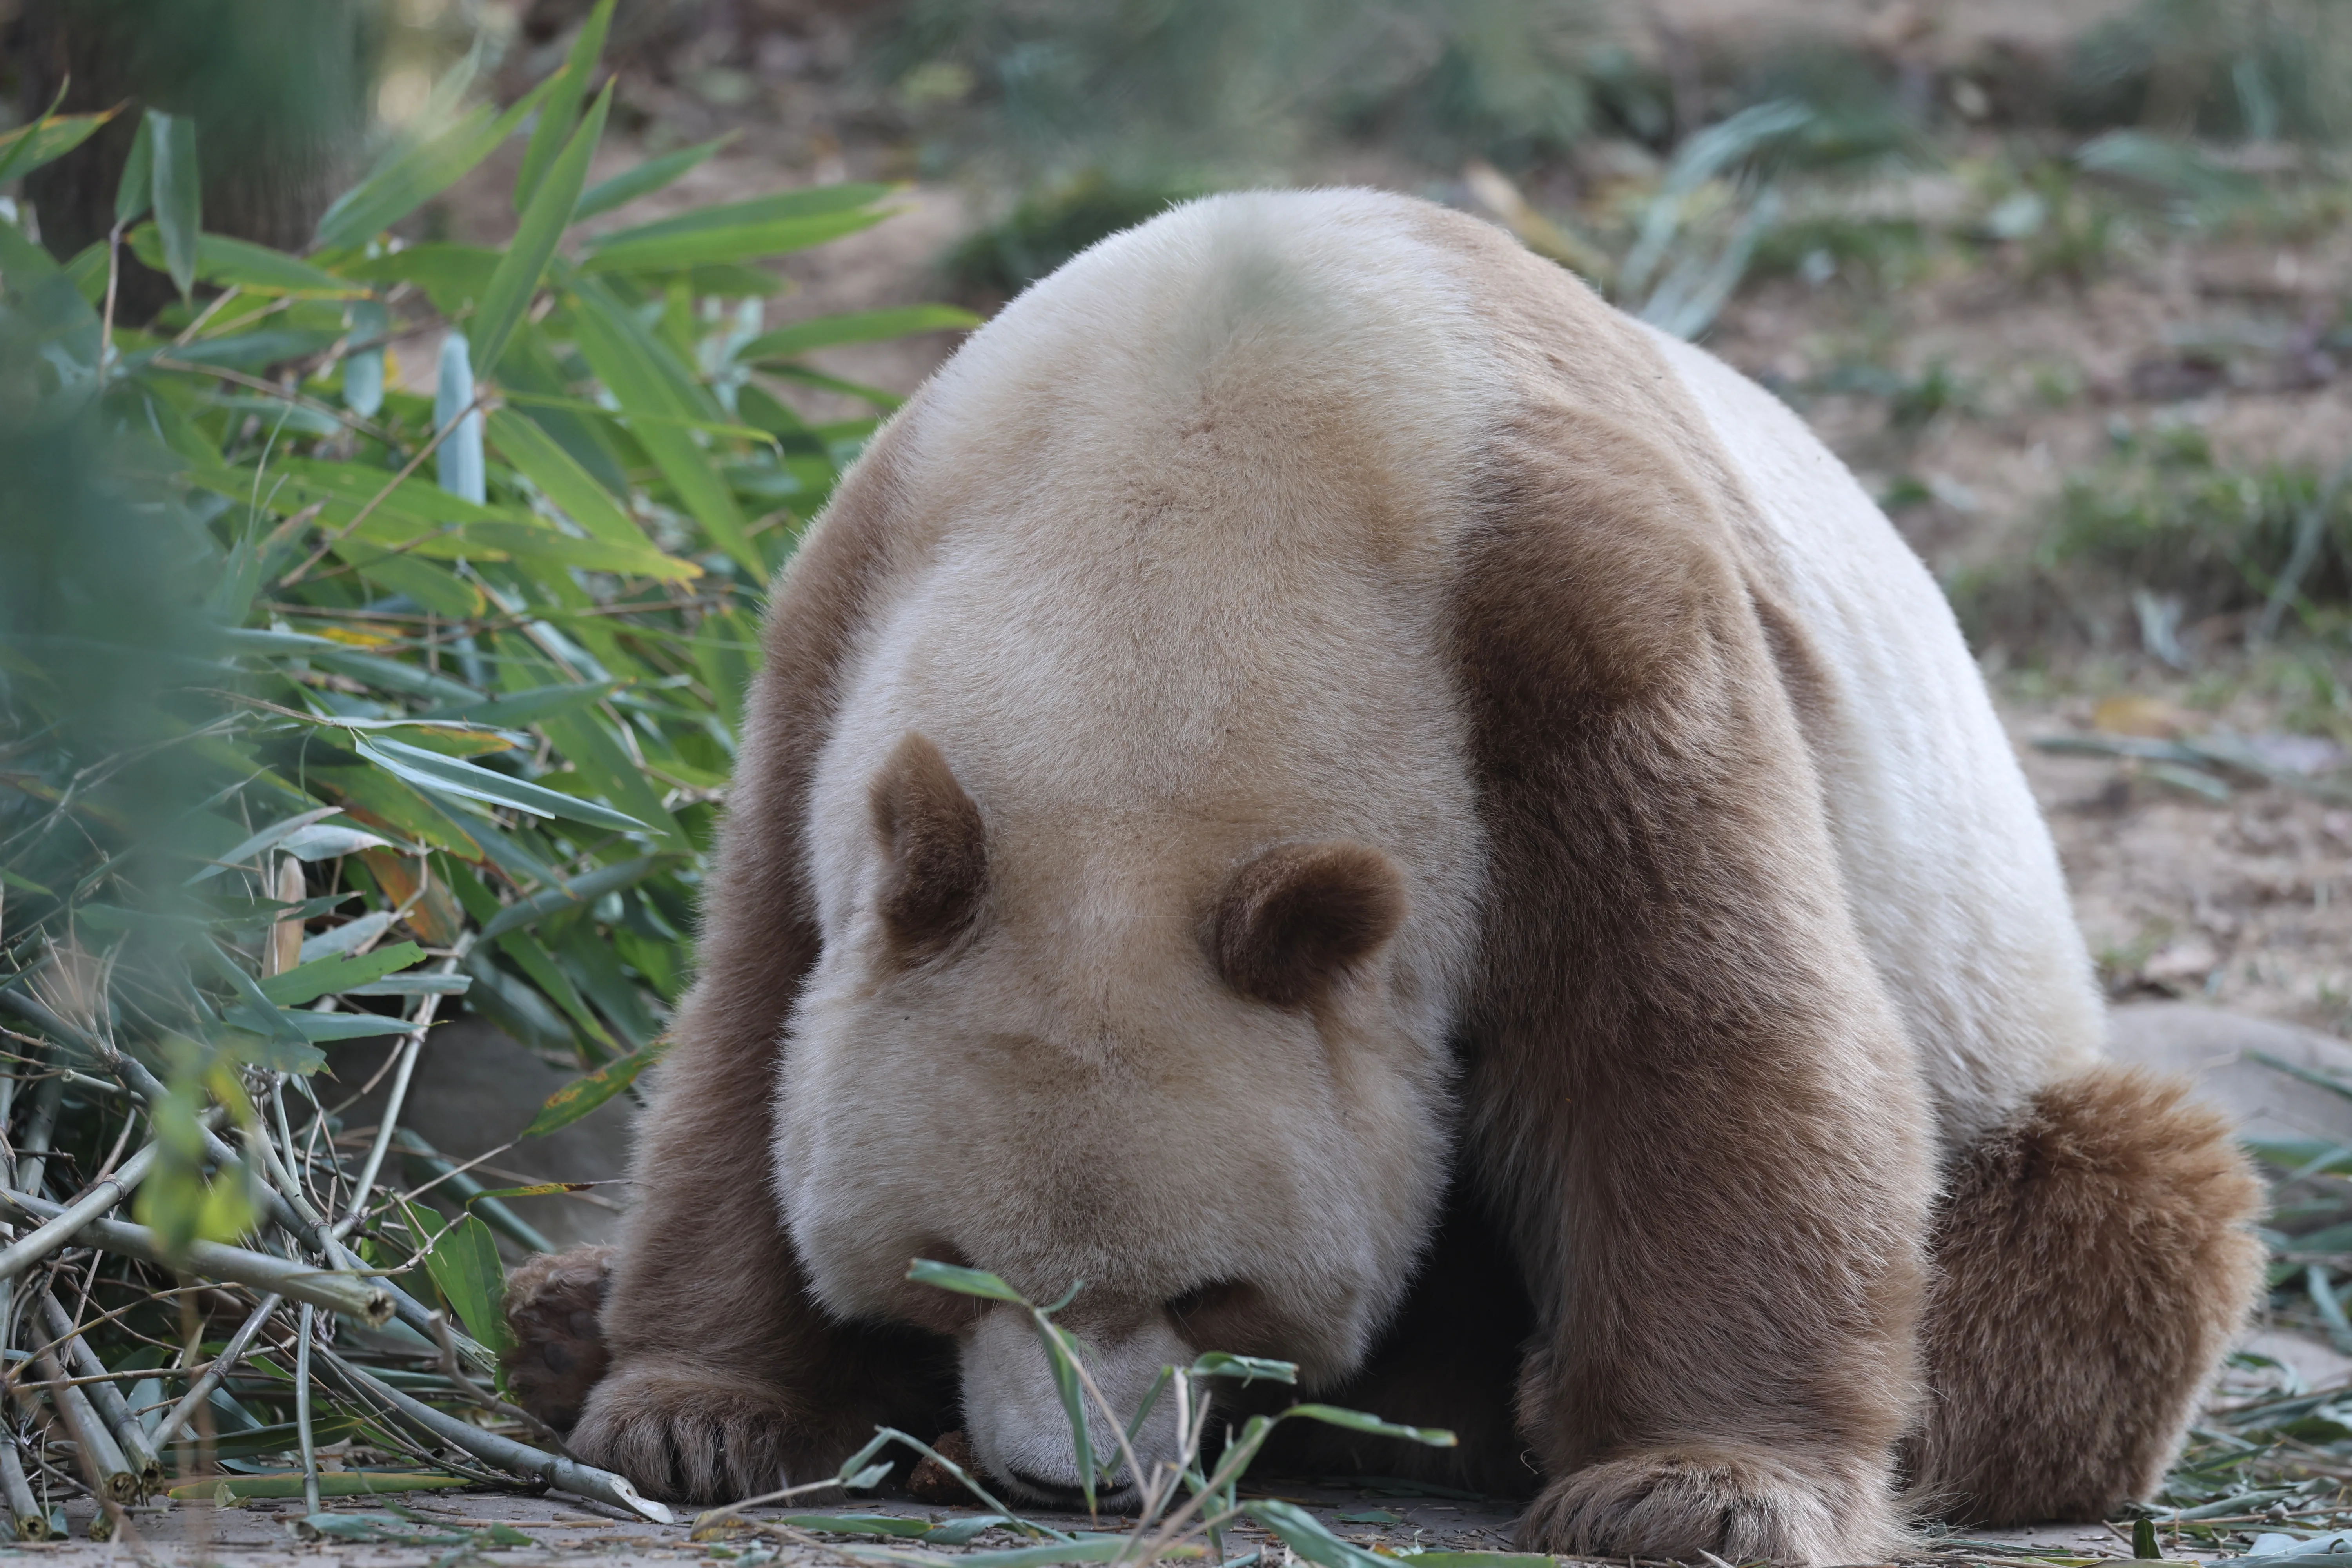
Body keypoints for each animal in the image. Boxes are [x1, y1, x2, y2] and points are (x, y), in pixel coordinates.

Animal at [502, 188, 2262, 1565]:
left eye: (1215, 1294)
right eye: (952, 1277)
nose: (1075, 1484)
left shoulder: (1566, 635)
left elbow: (1706, 1036)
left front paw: (1697, 1491)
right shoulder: (845, 609)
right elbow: (753, 1011)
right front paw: (696, 1413)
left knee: (2102, 1222)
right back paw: (562, 1314)